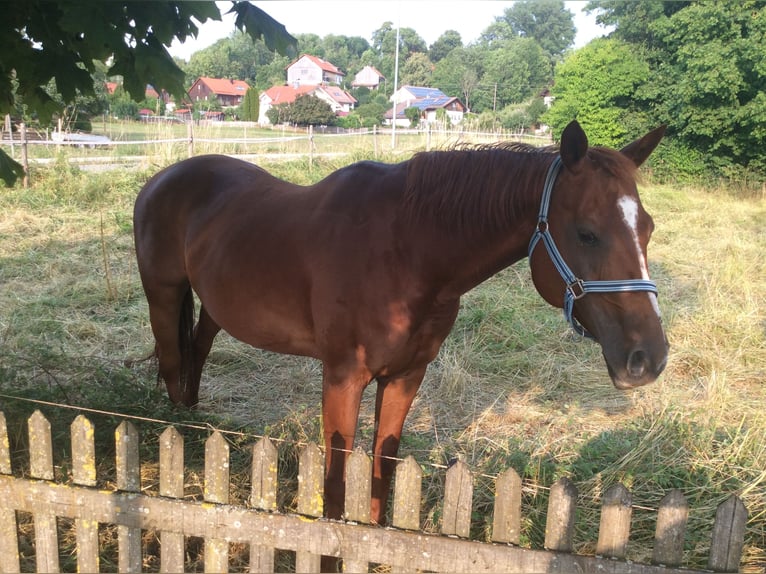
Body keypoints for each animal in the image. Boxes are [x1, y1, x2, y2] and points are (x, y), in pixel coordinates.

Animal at [134, 120, 668, 527]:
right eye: (587, 233)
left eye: (647, 228)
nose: (649, 358)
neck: (406, 250)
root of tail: (162, 178)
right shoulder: (343, 377)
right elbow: (336, 477)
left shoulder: (406, 377)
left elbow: (383, 468)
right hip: (163, 295)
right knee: (173, 363)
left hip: (212, 306)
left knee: (197, 351)